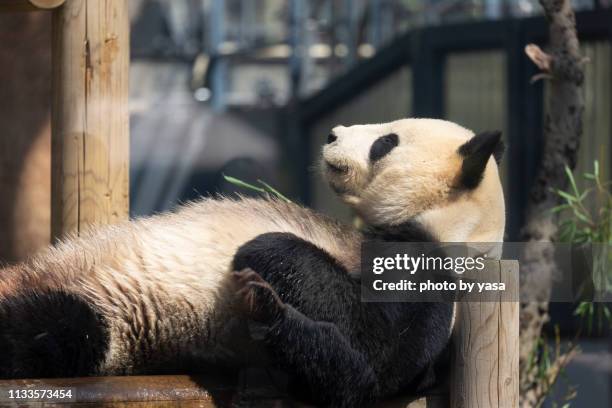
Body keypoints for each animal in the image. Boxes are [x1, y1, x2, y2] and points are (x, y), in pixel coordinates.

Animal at [0, 118, 506, 408]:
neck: (452, 226)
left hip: (113, 318)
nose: (332, 134)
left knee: (52, 329)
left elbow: (368, 362)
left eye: (386, 142)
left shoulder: (427, 275)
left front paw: (264, 285)